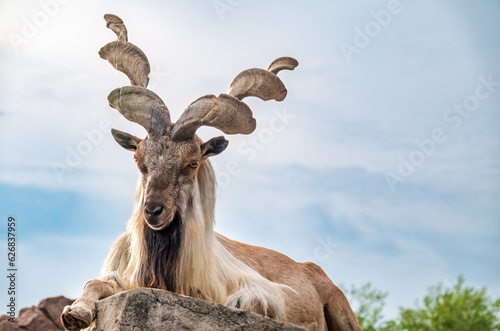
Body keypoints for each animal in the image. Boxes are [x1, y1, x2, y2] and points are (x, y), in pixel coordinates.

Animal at [60, 13, 362, 331]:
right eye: (139, 160)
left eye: (192, 163)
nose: (153, 211)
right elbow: (96, 283)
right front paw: (76, 313)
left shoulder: (258, 292)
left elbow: (245, 302)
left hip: (341, 308)